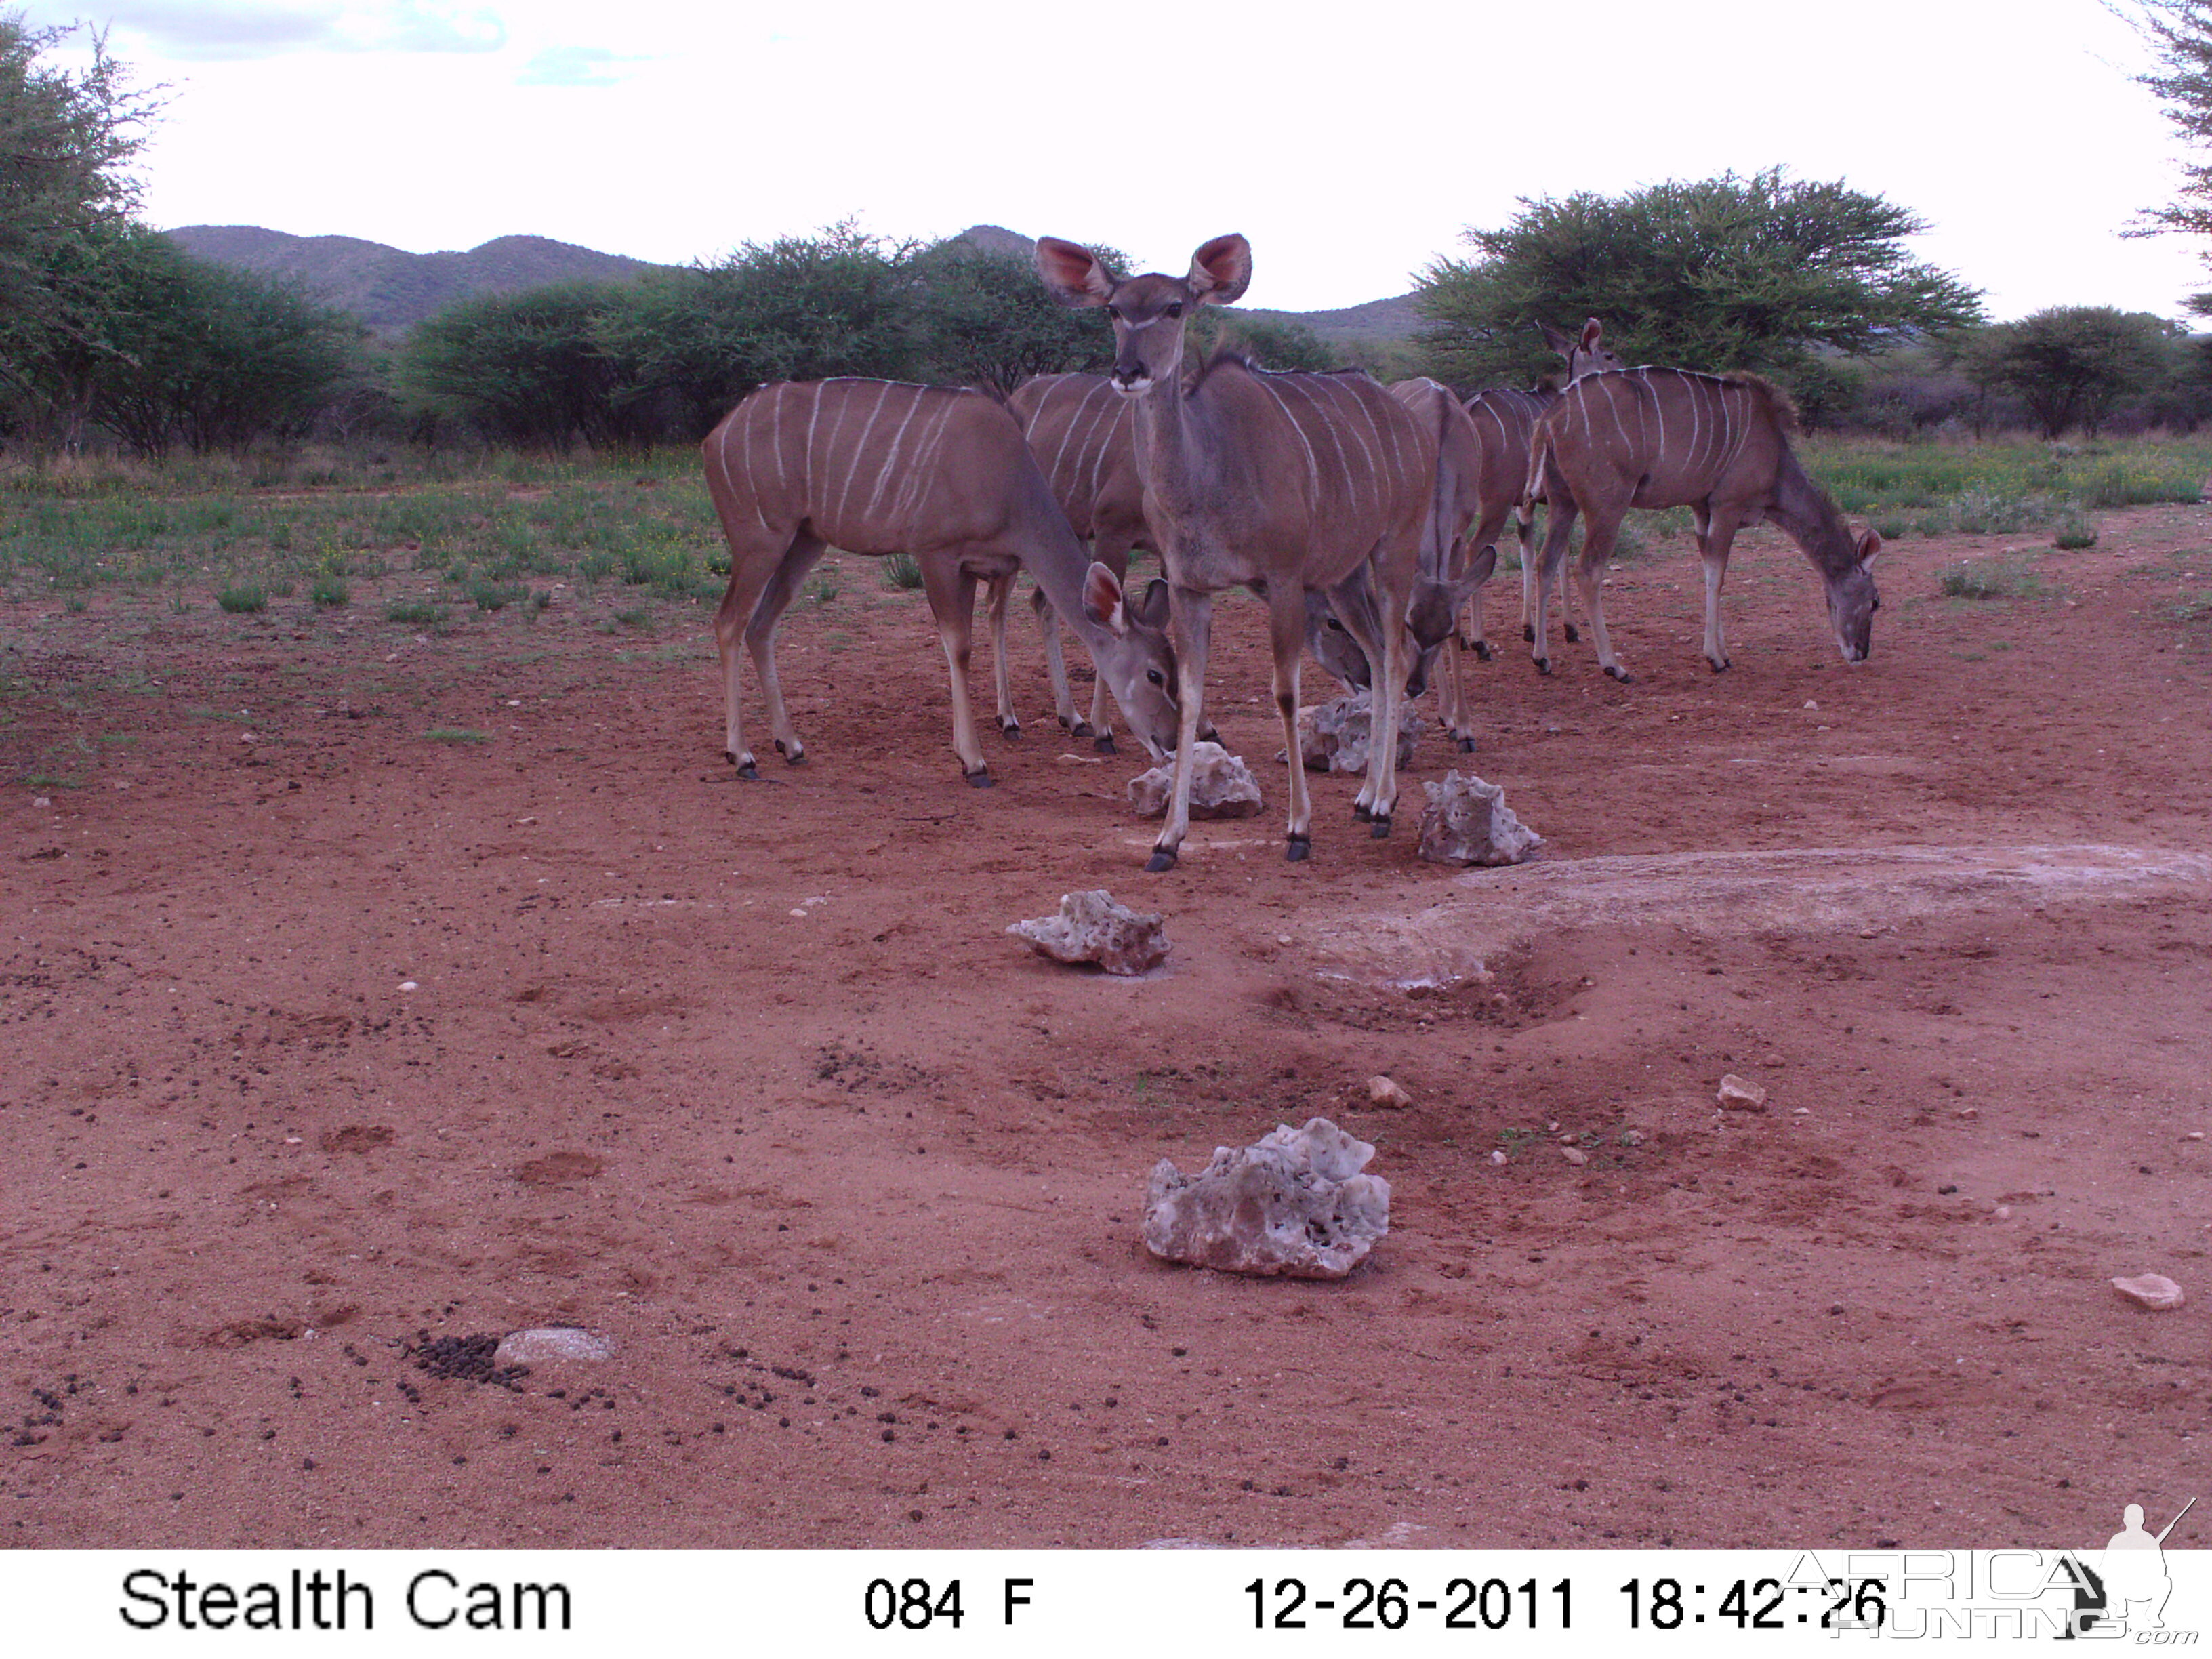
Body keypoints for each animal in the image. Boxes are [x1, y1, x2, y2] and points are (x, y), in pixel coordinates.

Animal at [703, 380, 1185, 787]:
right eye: (1155, 675)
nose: (1171, 741)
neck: (1007, 480)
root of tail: (714, 436)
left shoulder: (971, 566)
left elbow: (965, 643)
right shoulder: (935, 553)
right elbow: (959, 647)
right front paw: (975, 763)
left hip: (805, 540)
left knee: (761, 625)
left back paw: (791, 745)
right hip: (760, 539)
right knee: (729, 621)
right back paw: (742, 756)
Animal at [1035, 242, 1433, 884]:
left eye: (1175, 307)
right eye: (1114, 310)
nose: (1129, 371)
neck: (1207, 473)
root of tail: (1412, 424)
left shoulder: (1284, 578)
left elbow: (1286, 694)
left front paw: (1298, 830)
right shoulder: (1191, 587)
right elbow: (1193, 699)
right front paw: (1168, 840)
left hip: (1394, 548)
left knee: (1396, 658)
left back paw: (1382, 807)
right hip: (1345, 576)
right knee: (1376, 657)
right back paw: (1367, 798)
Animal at [1530, 369, 1875, 681]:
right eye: (1875, 602)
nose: (1861, 652)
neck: (1776, 458)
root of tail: (1551, 417)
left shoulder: (1701, 510)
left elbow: (1710, 570)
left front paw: (1724, 654)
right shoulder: (1727, 507)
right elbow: (1717, 576)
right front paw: (1715, 659)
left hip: (1562, 502)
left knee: (1545, 562)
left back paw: (1542, 659)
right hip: (1608, 506)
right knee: (1587, 570)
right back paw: (1614, 666)